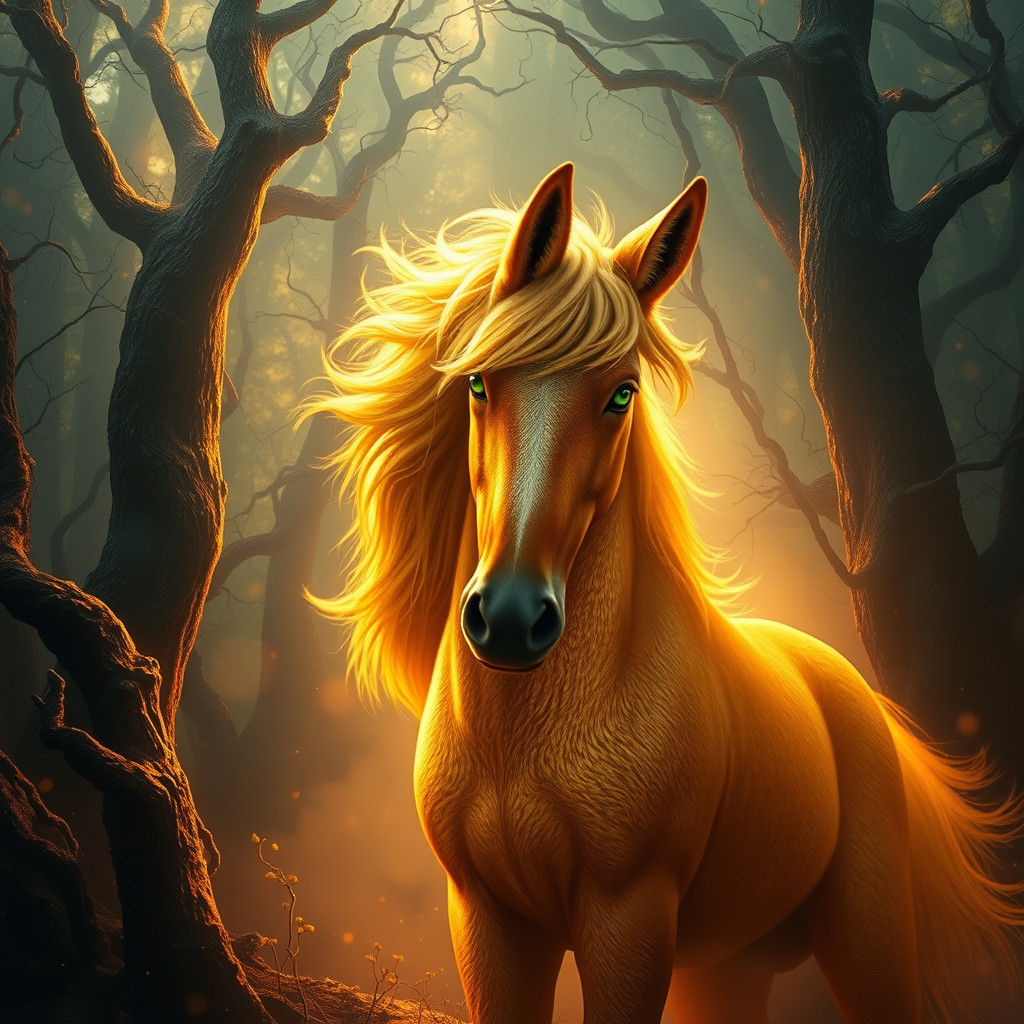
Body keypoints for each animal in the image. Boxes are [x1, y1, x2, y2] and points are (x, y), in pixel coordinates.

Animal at [308, 163, 1023, 1023]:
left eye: (622, 394)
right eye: (477, 382)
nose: (510, 619)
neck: (527, 737)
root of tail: (858, 692)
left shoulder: (629, 917)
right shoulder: (489, 920)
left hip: (866, 935)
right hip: (726, 968)